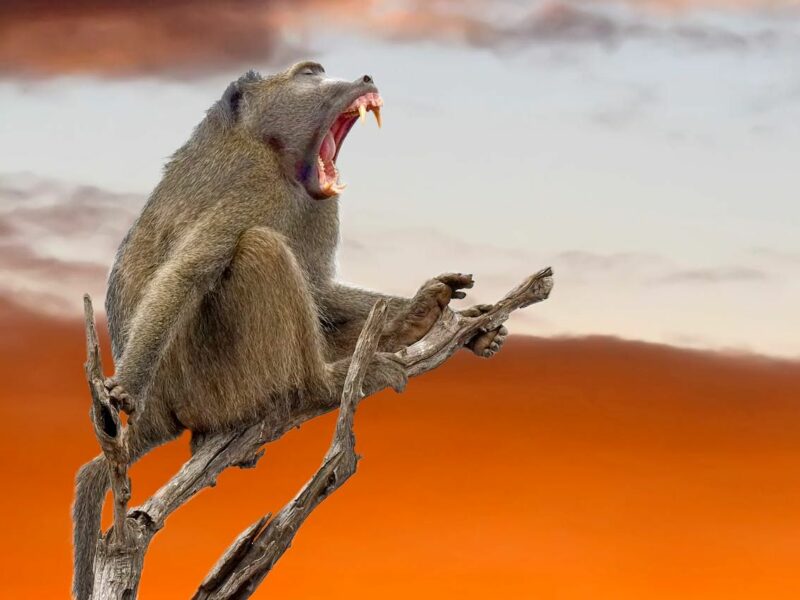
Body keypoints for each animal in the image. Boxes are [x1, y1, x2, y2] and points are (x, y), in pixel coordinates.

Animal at [72, 61, 507, 600]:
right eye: (309, 73)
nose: (365, 78)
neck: (267, 147)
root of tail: (163, 412)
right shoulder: (254, 188)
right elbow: (190, 271)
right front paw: (125, 386)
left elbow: (317, 289)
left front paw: (429, 314)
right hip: (211, 382)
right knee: (261, 250)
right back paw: (325, 383)